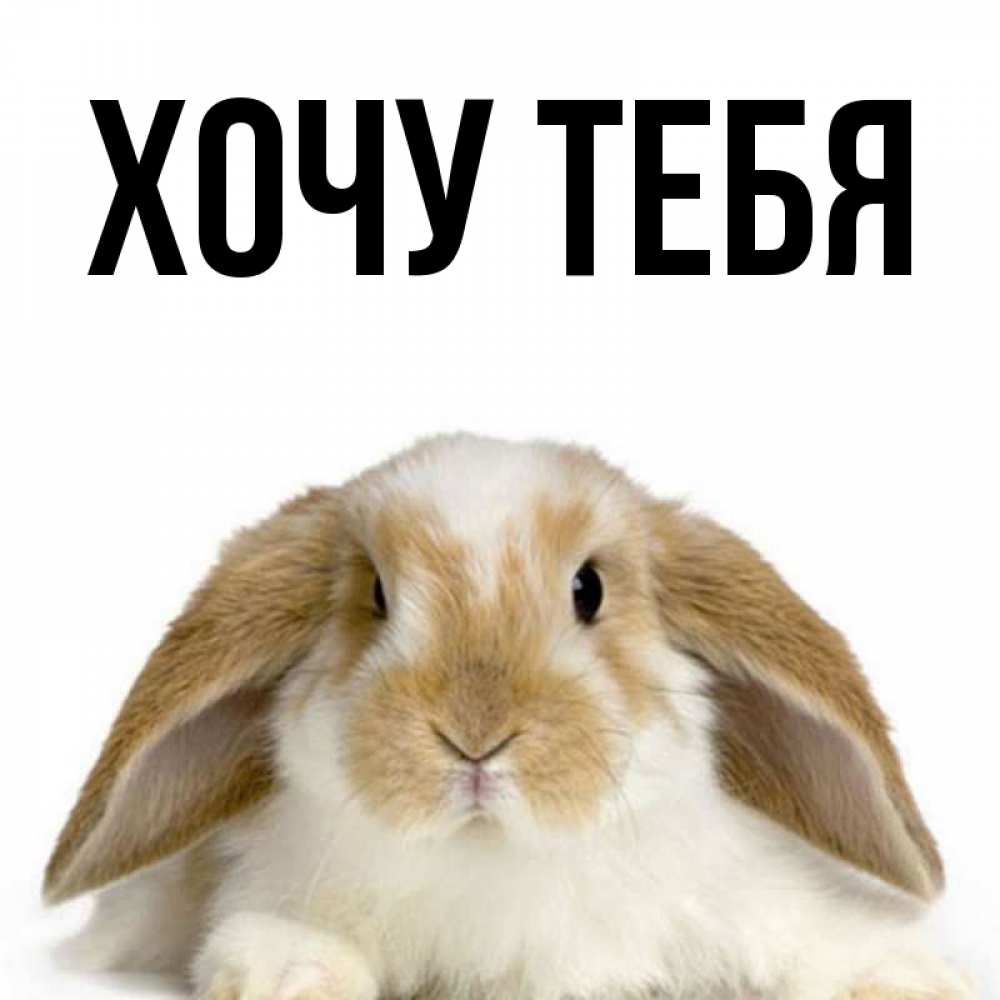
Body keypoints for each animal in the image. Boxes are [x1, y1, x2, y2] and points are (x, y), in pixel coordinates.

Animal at [45, 434, 972, 1000]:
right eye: (376, 595)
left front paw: (908, 978)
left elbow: (808, 936)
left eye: (589, 589)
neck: (495, 859)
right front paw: (290, 974)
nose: (475, 736)